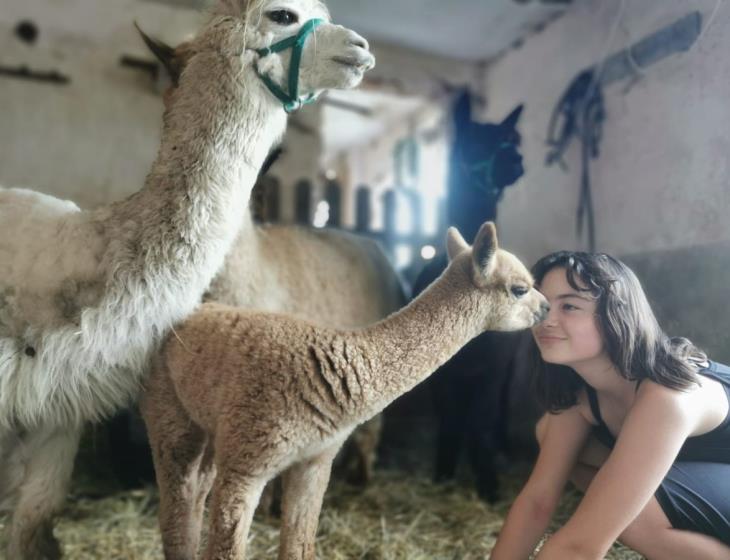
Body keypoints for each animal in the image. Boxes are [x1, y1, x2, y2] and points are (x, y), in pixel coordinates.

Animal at [410, 92, 524, 504]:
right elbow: (450, 418)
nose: (514, 161)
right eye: (473, 142)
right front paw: (444, 469)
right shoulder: (441, 369)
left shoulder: (493, 366)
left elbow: (481, 421)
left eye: (512, 139)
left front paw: (488, 482)